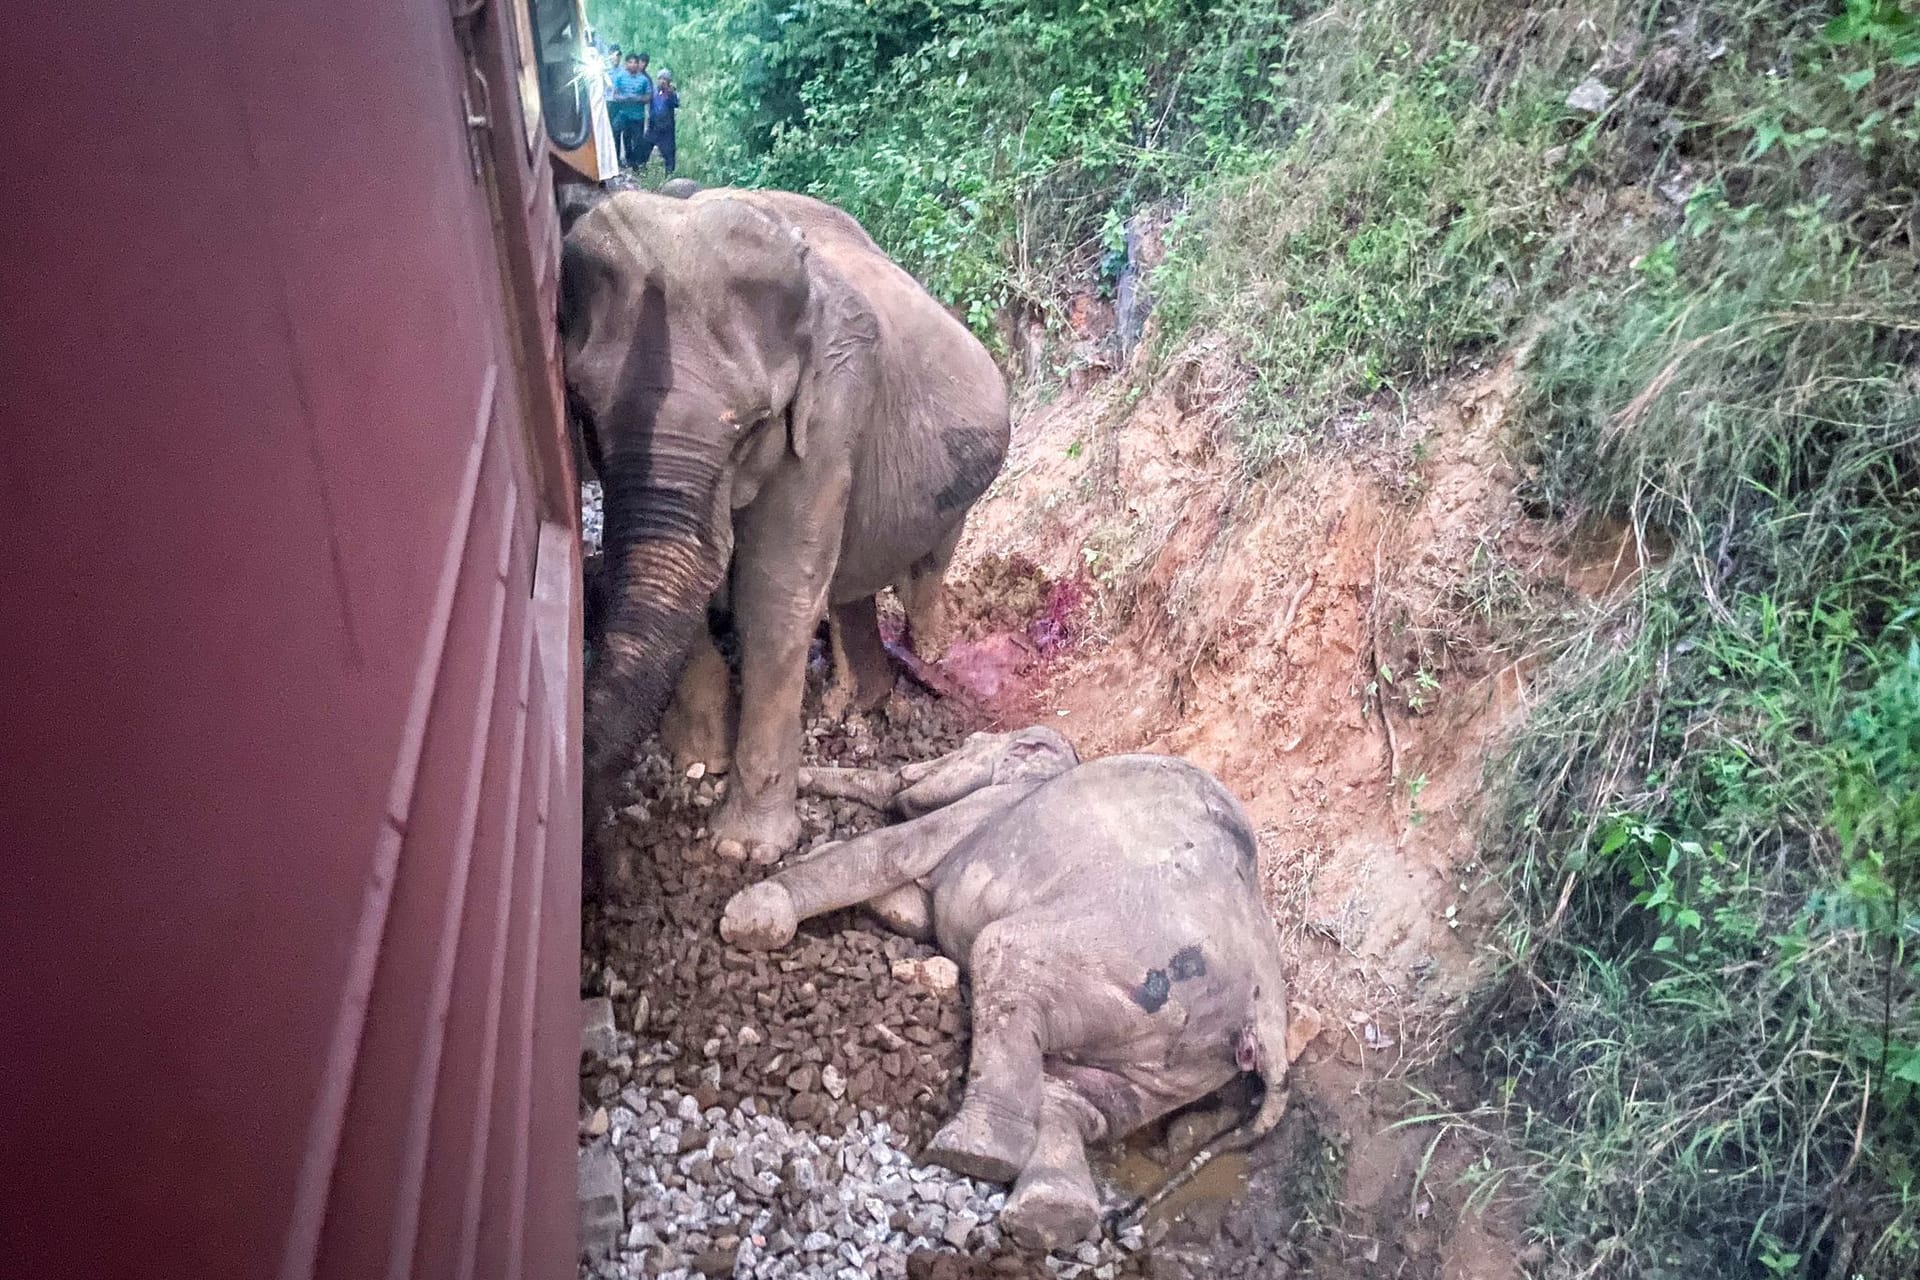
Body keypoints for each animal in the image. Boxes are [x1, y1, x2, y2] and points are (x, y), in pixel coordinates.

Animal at [560, 189, 1013, 855]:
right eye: (584, 414)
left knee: (920, 570)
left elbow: (774, 592)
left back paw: (927, 654)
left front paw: (744, 848)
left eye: (753, 426)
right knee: (850, 583)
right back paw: (853, 703)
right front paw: (700, 758)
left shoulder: (834, 402)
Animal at [718, 729, 1290, 1251]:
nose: (797, 778)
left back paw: (972, 1154)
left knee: (1003, 956)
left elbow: (893, 853)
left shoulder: (986, 809)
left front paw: (753, 917)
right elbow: (914, 910)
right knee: (1075, 1101)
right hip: (1170, 1062)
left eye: (964, 745)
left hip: (1125, 974)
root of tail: (1268, 1024)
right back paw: (1049, 1216)